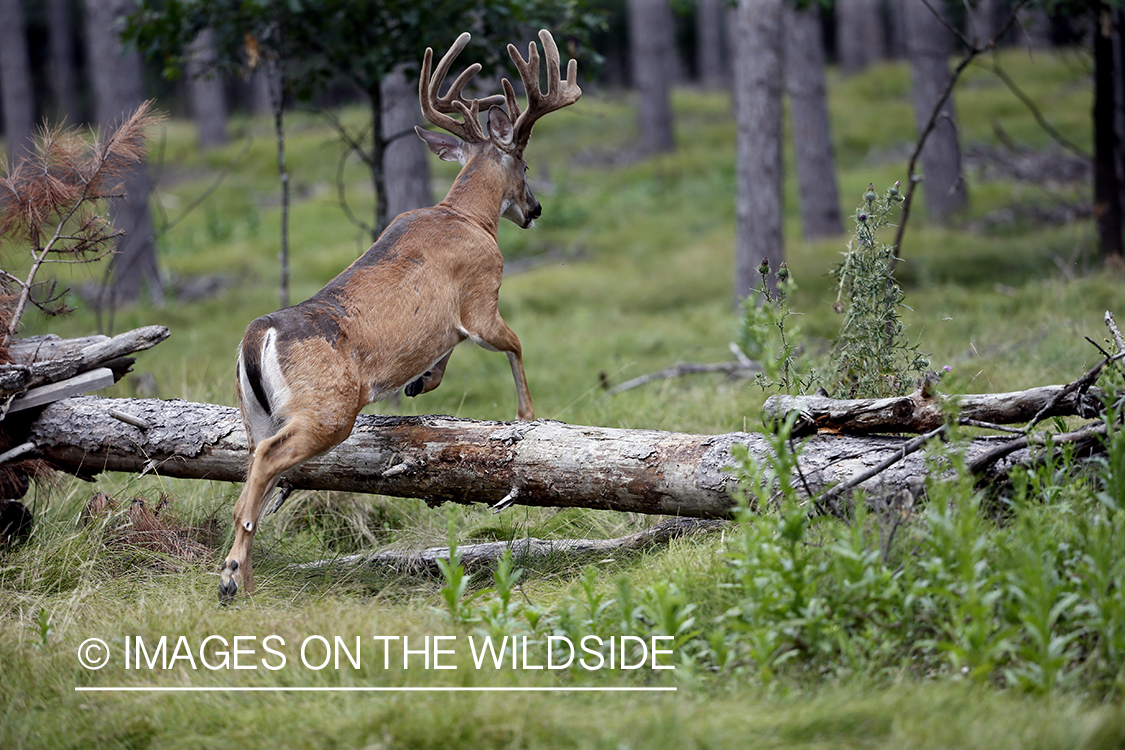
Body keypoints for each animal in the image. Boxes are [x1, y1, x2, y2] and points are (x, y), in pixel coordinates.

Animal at [221, 30, 589, 602]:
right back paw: (231, 577)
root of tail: (258, 336)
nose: (535, 209)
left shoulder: (455, 317)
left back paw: (246, 579)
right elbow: (513, 343)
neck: (468, 217)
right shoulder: (481, 294)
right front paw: (528, 416)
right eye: (526, 165)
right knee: (263, 470)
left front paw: (422, 382)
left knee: (252, 473)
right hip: (327, 409)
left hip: (253, 413)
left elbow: (446, 350)